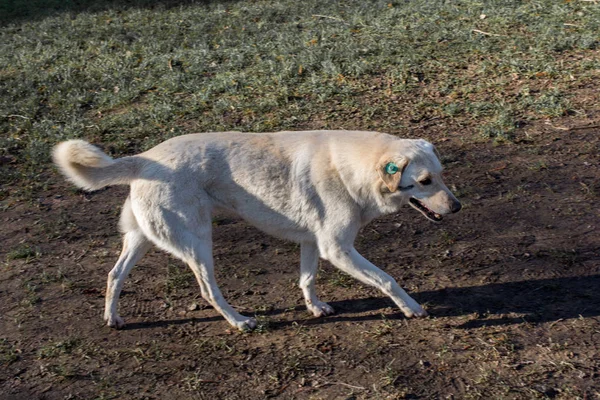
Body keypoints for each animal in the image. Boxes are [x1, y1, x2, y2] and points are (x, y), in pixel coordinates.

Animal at [54, 131, 462, 332]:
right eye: (424, 182)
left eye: (442, 174)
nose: (457, 207)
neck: (352, 167)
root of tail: (144, 159)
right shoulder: (338, 248)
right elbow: (387, 280)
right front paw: (411, 308)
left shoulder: (313, 242)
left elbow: (307, 279)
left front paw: (315, 307)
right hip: (198, 244)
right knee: (208, 291)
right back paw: (239, 322)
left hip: (142, 239)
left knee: (114, 275)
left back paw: (113, 318)